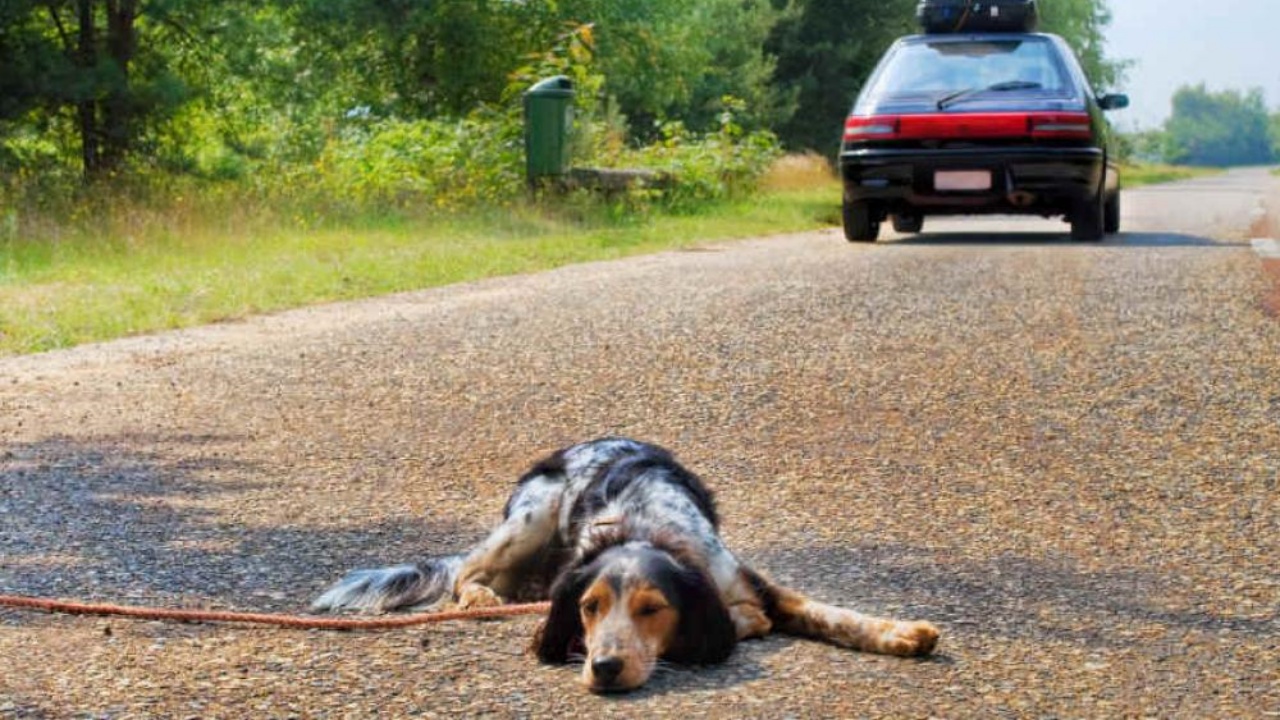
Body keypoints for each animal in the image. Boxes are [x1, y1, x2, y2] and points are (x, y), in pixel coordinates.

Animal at [312, 435, 942, 691]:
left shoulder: (748, 581)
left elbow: (830, 613)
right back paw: (479, 598)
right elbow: (751, 622)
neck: (642, 528)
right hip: (534, 511)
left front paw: (900, 632)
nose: (605, 668)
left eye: (652, 609)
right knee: (466, 574)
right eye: (588, 609)